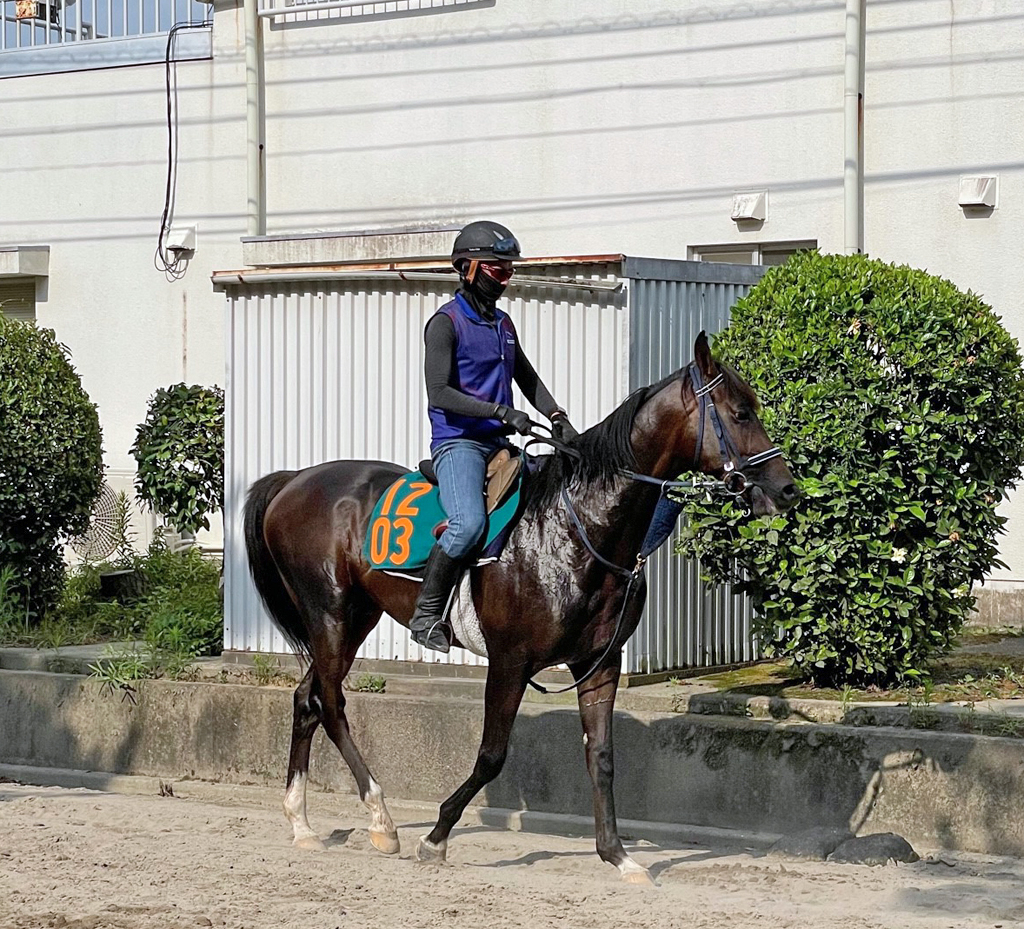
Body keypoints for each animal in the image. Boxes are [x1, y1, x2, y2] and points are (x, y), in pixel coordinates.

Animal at [243, 331, 798, 884]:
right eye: (740, 413)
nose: (786, 489)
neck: (577, 528)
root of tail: (295, 480)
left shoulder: (599, 664)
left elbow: (602, 757)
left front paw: (618, 855)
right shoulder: (510, 662)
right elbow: (491, 755)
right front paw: (436, 837)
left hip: (356, 617)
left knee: (307, 699)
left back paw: (302, 823)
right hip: (331, 613)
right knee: (331, 703)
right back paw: (382, 820)